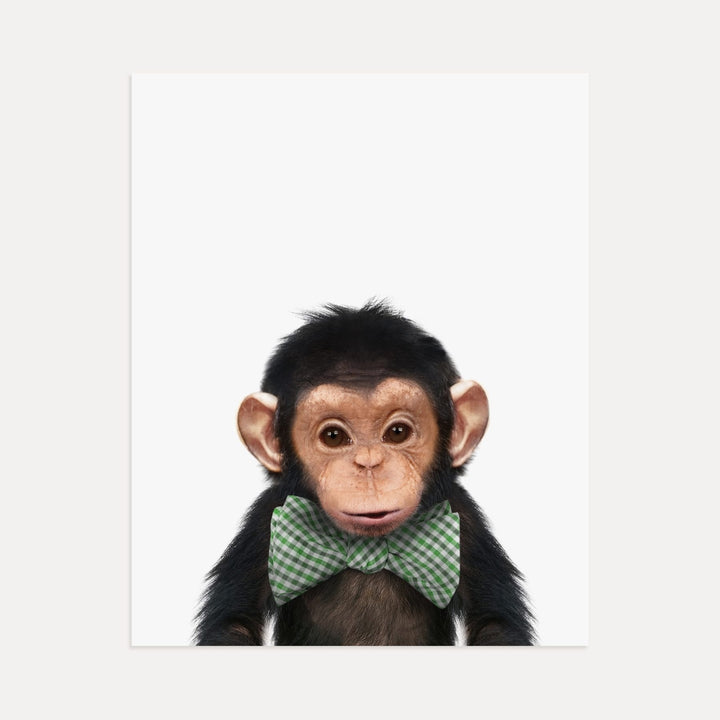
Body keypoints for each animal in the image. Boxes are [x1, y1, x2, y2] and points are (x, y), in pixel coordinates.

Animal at [195, 300, 535, 645]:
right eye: (333, 436)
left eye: (397, 432)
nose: (369, 464)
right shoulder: (263, 521)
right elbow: (235, 623)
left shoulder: (466, 520)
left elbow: (493, 622)